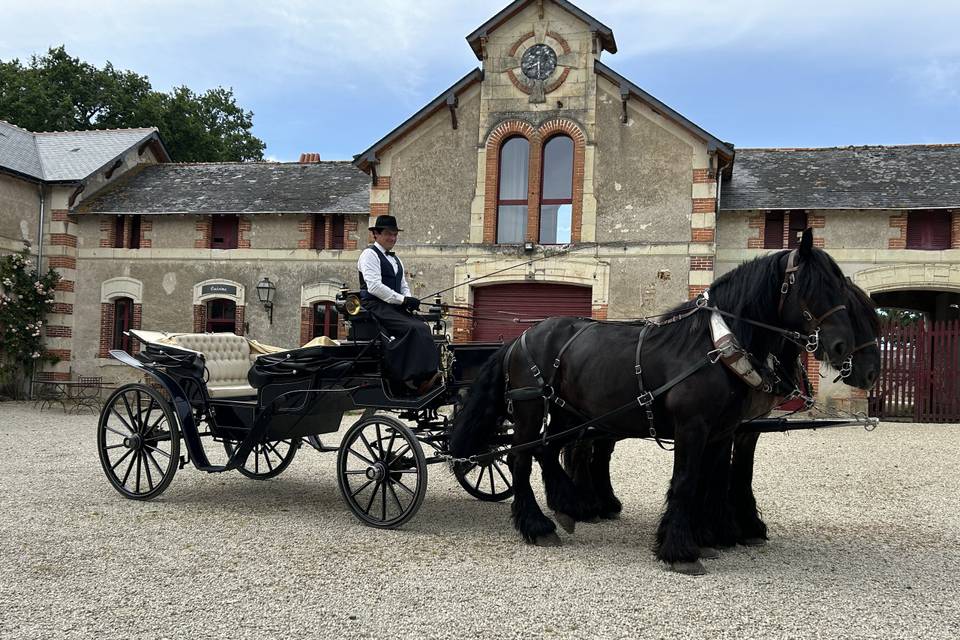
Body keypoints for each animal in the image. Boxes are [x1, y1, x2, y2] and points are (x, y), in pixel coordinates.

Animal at [450, 230, 856, 574]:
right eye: (814, 285)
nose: (842, 346)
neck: (711, 346)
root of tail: (519, 338)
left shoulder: (722, 430)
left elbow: (710, 480)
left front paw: (706, 537)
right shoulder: (693, 427)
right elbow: (687, 481)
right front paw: (681, 550)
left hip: (568, 412)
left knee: (546, 450)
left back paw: (569, 507)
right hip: (531, 408)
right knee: (520, 457)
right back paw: (537, 525)